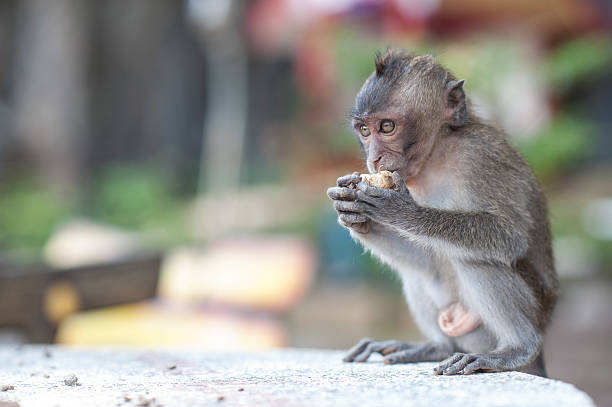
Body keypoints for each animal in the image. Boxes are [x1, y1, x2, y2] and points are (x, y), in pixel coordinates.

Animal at [328, 51, 556, 380]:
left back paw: (516, 348)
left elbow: (510, 236)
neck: (437, 154)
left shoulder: (481, 156)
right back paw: (435, 347)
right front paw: (356, 217)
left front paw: (404, 213)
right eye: (364, 130)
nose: (373, 159)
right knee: (418, 270)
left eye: (387, 127)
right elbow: (427, 259)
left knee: (476, 258)